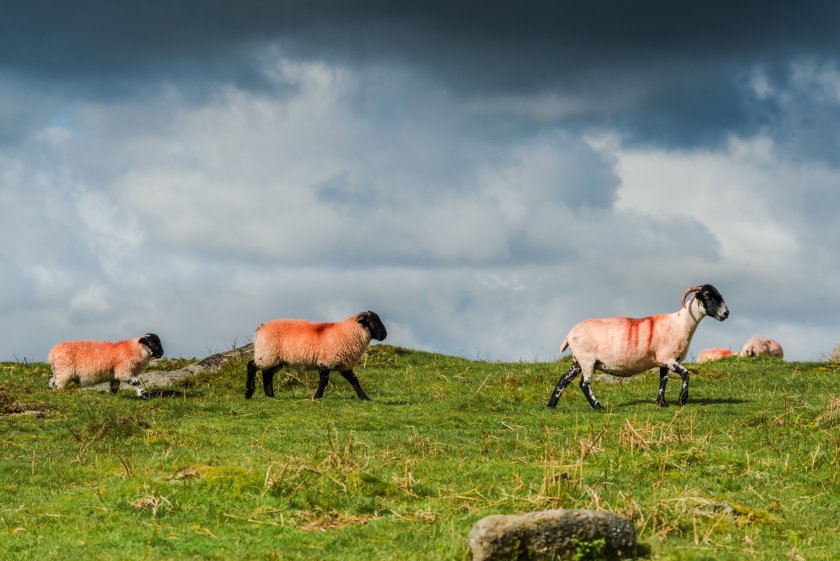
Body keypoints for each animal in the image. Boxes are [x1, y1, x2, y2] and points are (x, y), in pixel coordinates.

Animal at [243, 308, 388, 400]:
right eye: (372, 322)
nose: (384, 335)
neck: (348, 332)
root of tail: (260, 328)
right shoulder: (326, 361)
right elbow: (324, 381)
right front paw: (317, 396)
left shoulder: (343, 364)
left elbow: (354, 380)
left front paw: (364, 397)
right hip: (266, 353)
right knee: (252, 366)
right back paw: (248, 393)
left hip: (274, 358)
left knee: (267, 374)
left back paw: (270, 396)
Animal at [544, 286, 728, 410]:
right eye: (708, 296)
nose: (726, 313)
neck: (681, 323)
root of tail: (569, 334)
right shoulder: (669, 358)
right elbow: (685, 374)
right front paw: (682, 399)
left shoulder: (662, 360)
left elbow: (663, 381)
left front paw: (662, 403)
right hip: (587, 359)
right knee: (584, 384)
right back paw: (598, 406)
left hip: (578, 360)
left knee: (563, 379)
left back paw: (551, 404)